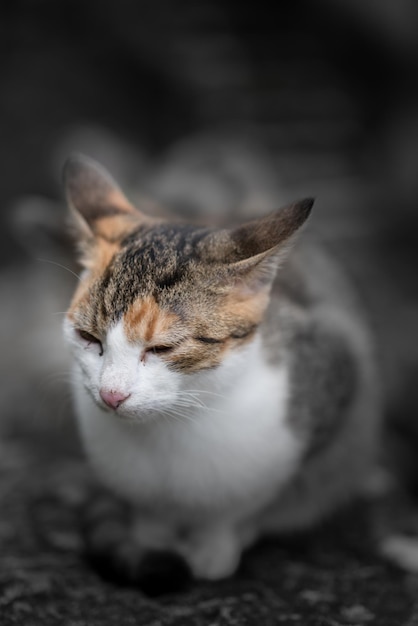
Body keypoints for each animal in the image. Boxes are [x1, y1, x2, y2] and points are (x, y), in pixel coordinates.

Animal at [62, 154, 382, 584]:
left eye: (162, 348)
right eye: (87, 337)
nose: (112, 395)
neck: (170, 428)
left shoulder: (334, 373)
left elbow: (238, 507)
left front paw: (217, 546)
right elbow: (150, 512)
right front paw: (151, 538)